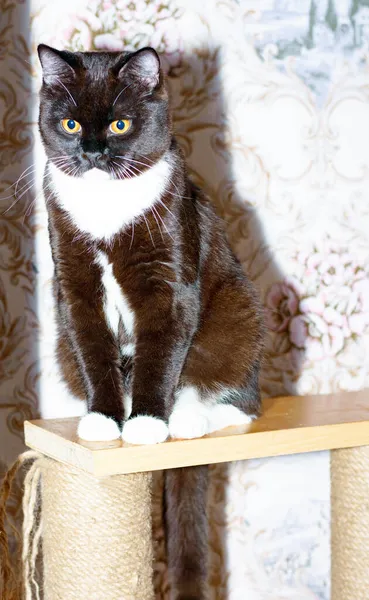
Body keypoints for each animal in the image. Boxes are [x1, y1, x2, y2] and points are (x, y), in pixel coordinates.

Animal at [37, 45, 264, 600]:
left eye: (119, 123)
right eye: (71, 123)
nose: (92, 152)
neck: (106, 209)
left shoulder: (169, 276)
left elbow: (161, 350)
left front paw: (145, 423)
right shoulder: (72, 280)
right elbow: (92, 347)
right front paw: (105, 418)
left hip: (238, 314)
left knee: (237, 399)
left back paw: (188, 417)